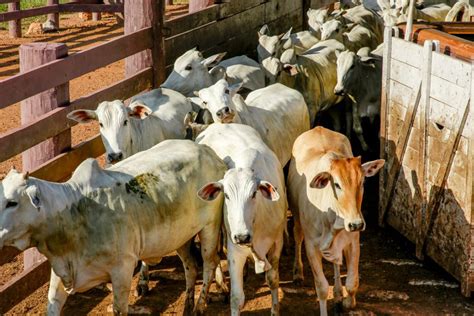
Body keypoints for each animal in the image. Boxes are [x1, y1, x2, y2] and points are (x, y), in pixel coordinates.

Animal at [0, 141, 228, 316]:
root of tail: (210, 153)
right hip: (180, 237)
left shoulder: (122, 270)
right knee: (191, 267)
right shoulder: (60, 272)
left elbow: (120, 309)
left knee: (209, 265)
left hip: (210, 228)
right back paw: (188, 307)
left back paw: (199, 307)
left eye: (12, 202)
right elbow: (52, 305)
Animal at [195, 124, 286, 316]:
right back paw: (221, 284)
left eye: (254, 194)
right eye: (227, 195)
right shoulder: (234, 251)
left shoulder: (277, 243)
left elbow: (273, 280)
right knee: (214, 257)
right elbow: (237, 298)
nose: (242, 237)